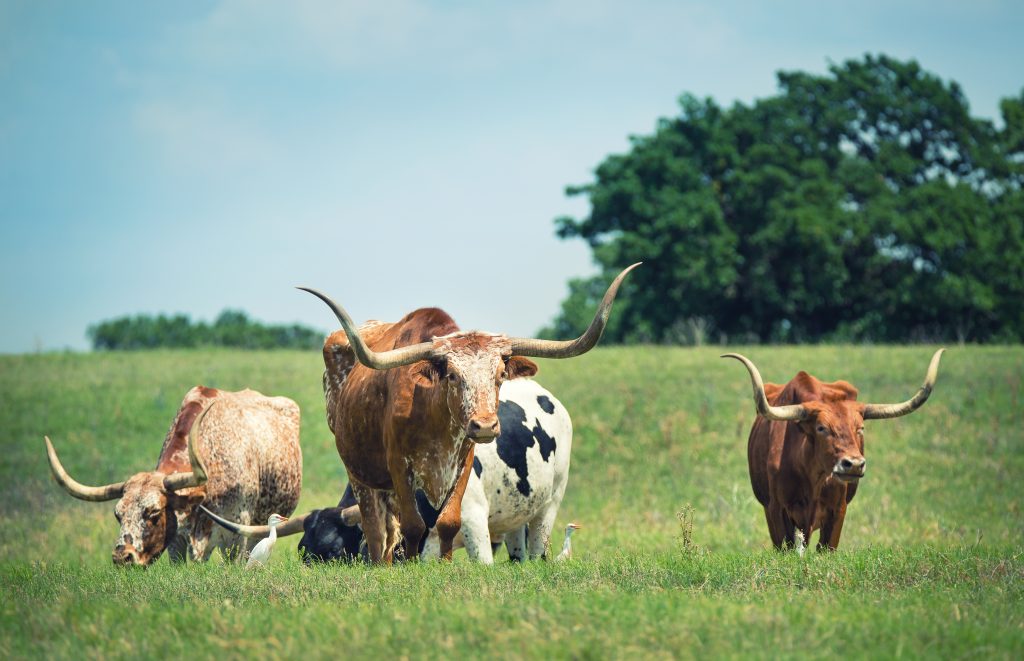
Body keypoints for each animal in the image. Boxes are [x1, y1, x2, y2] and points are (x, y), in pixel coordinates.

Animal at [292, 266, 634, 568]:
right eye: (453, 375)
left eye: (499, 374)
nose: (484, 425)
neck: (431, 414)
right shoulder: (399, 466)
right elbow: (411, 525)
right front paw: (410, 567)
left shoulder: (463, 466)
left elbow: (448, 521)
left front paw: (443, 566)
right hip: (359, 472)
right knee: (377, 529)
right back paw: (381, 564)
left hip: (550, 501)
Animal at [720, 351, 942, 552]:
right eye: (821, 428)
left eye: (860, 428)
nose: (853, 464)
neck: (811, 475)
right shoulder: (775, 509)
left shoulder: (838, 510)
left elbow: (826, 549)